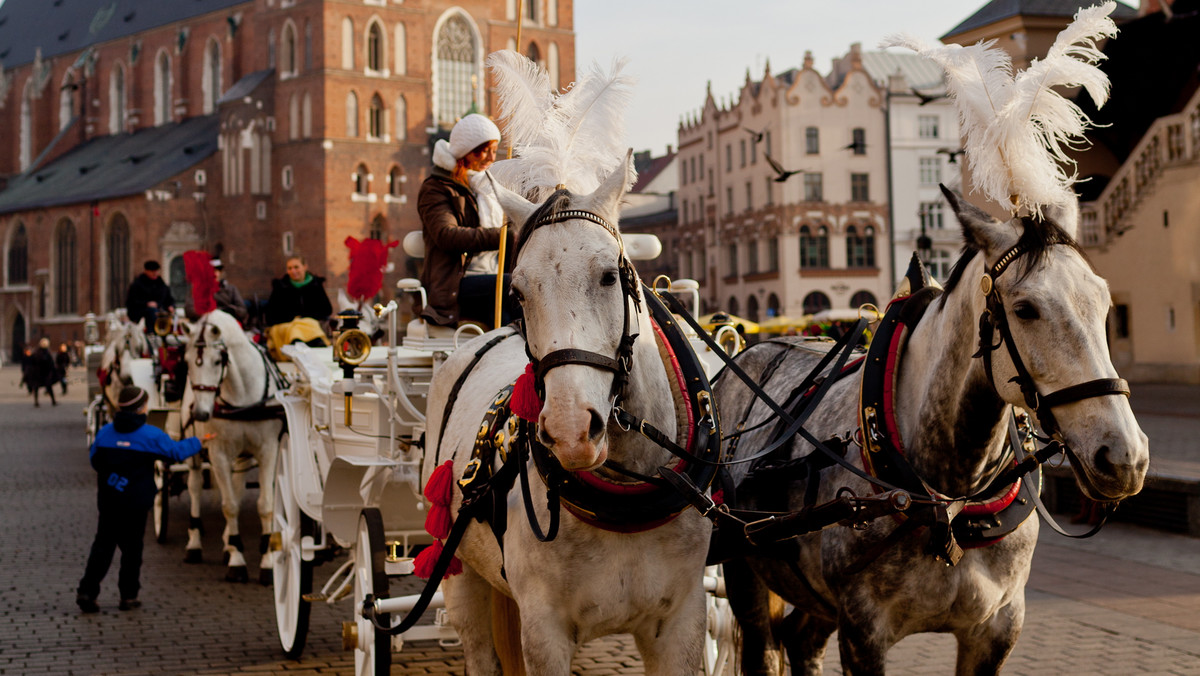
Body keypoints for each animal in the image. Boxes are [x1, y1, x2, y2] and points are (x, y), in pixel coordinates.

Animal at [184, 309, 283, 583]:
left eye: (218, 361)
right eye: (186, 361)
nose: (201, 413)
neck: (242, 396)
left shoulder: (269, 450)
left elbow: (265, 505)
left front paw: (267, 560)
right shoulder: (218, 453)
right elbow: (229, 506)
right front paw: (237, 560)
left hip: (243, 455)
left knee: (237, 488)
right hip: (195, 453)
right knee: (195, 487)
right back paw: (195, 544)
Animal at [422, 156, 710, 672]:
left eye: (609, 276)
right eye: (517, 291)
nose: (571, 430)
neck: (626, 498)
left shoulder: (683, 622)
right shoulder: (544, 631)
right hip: (458, 571)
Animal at [715, 186, 1147, 676]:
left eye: (1105, 305)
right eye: (1025, 309)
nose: (1125, 458)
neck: (954, 502)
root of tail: (749, 351)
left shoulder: (997, 628)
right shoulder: (863, 631)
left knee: (800, 640)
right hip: (744, 566)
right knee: (765, 646)